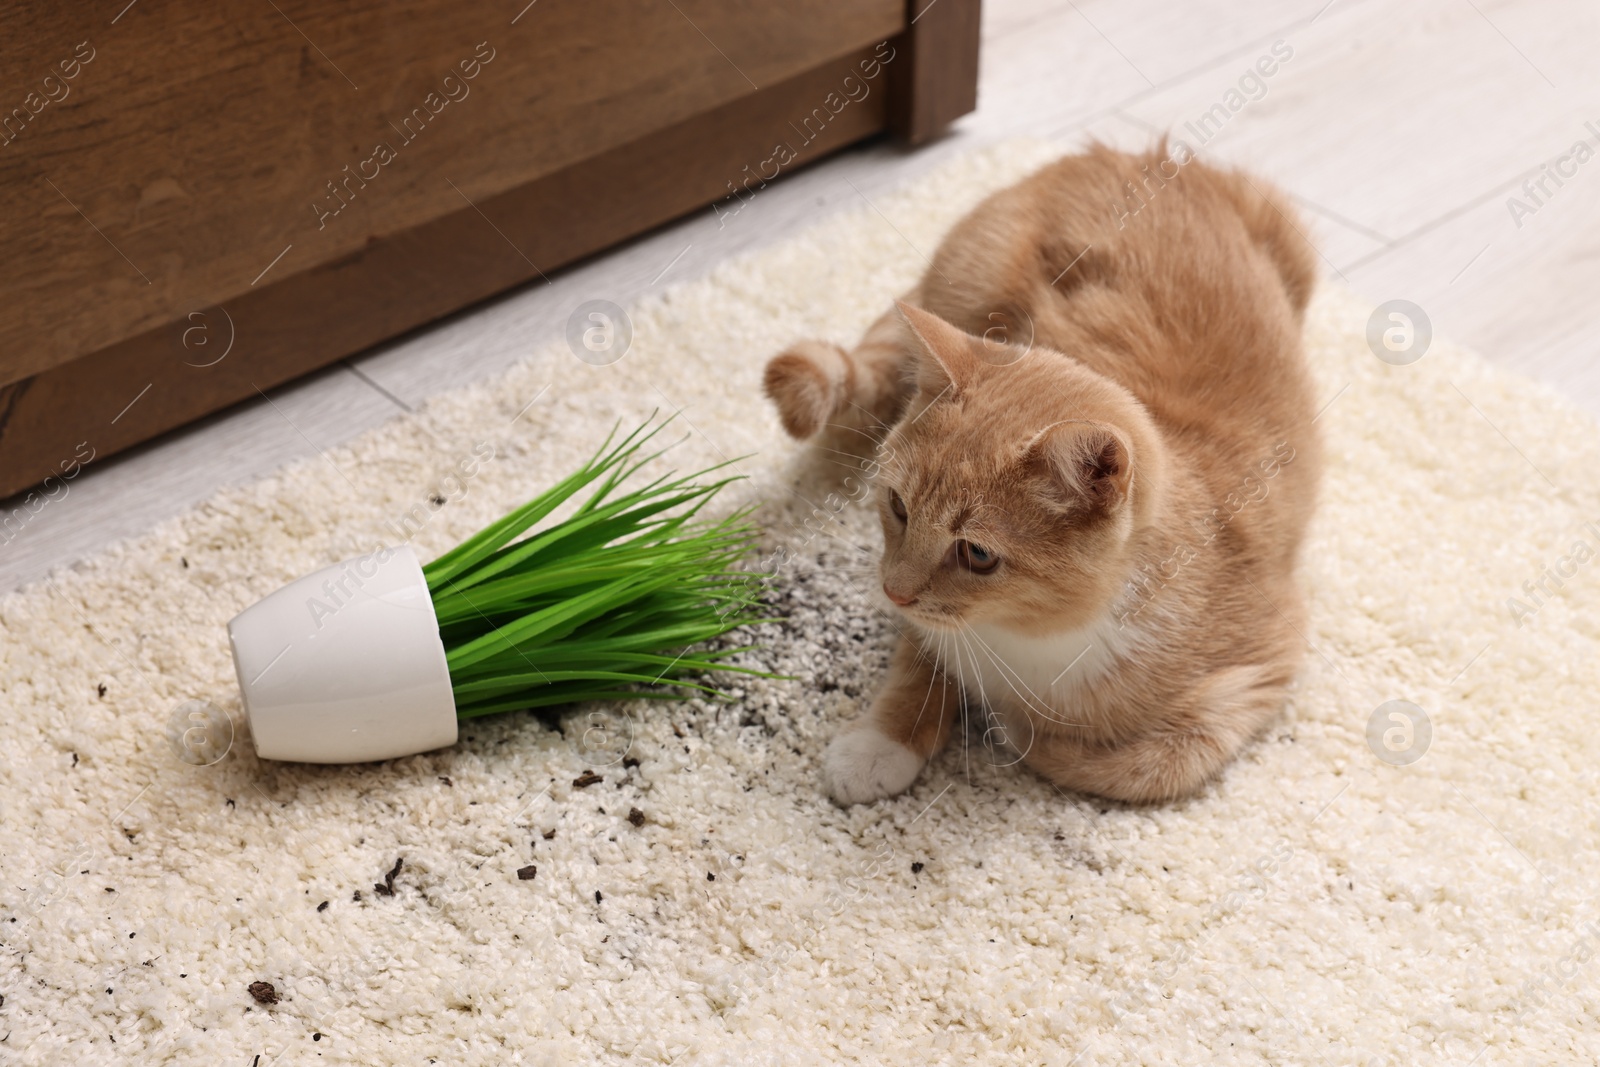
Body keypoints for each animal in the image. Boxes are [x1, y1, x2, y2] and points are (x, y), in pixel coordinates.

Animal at [768, 146, 1318, 806]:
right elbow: (923, 656)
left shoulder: (1261, 669)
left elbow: (1149, 766)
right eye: (898, 507)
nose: (892, 591)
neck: (1026, 638)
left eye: (978, 554)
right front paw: (885, 740)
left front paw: (1012, 726)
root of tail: (1154, 157)